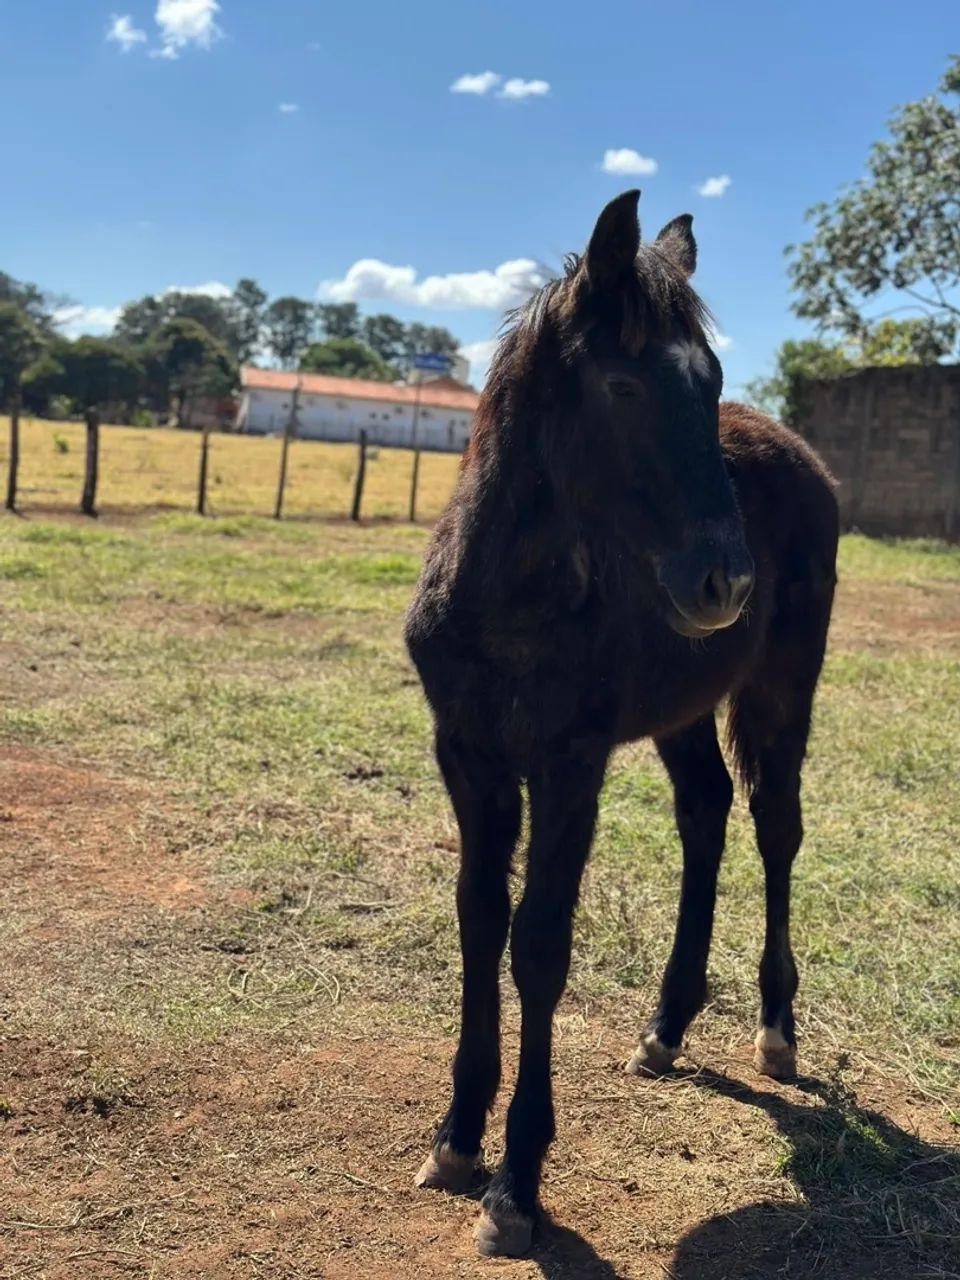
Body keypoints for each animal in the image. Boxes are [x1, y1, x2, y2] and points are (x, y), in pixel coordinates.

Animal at [404, 190, 838, 1257]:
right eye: (622, 384)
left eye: (709, 378)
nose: (726, 581)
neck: (509, 601)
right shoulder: (468, 755)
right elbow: (479, 921)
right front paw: (456, 1141)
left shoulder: (571, 765)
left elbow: (539, 945)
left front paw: (516, 1187)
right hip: (684, 706)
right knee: (706, 812)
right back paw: (667, 1028)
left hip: (781, 687)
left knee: (775, 826)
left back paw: (776, 1030)